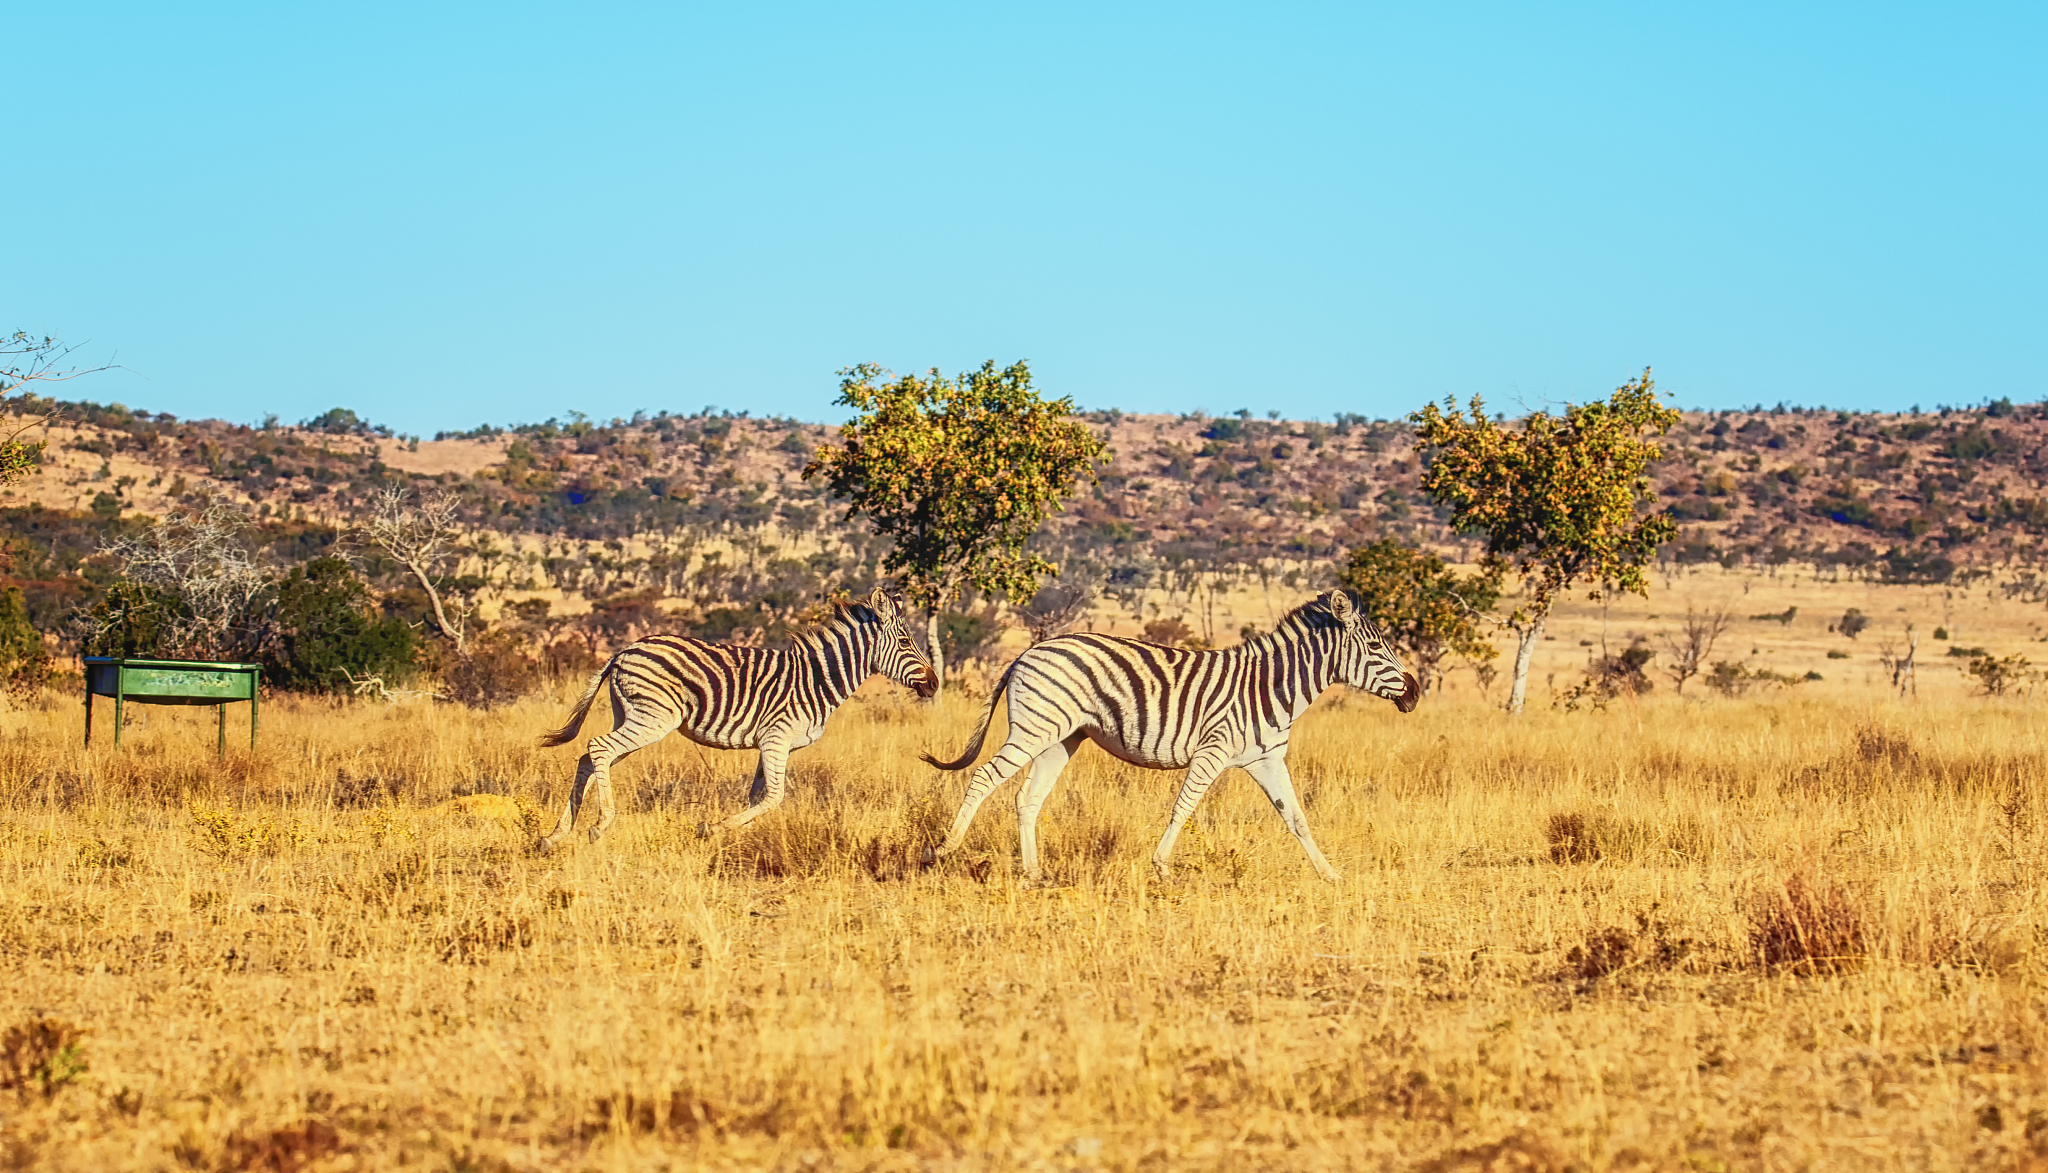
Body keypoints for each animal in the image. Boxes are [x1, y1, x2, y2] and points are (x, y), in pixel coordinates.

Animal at [535, 588, 937, 852]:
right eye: (905, 643)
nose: (934, 684)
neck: (819, 679)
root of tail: (623, 650)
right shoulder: (776, 738)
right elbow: (775, 796)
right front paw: (711, 829)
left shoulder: (772, 744)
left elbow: (758, 795)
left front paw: (738, 839)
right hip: (653, 717)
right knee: (598, 747)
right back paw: (599, 825)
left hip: (631, 714)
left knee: (589, 757)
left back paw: (554, 836)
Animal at [921, 589, 1417, 883]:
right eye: (1376, 647)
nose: (1413, 693)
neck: (1270, 687)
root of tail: (1028, 651)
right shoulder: (1213, 751)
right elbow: (1184, 808)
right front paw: (1161, 867)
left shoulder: (1267, 759)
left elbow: (1296, 818)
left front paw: (1330, 875)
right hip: (1034, 728)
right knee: (984, 777)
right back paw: (943, 850)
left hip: (1061, 737)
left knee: (1028, 797)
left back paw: (1034, 873)